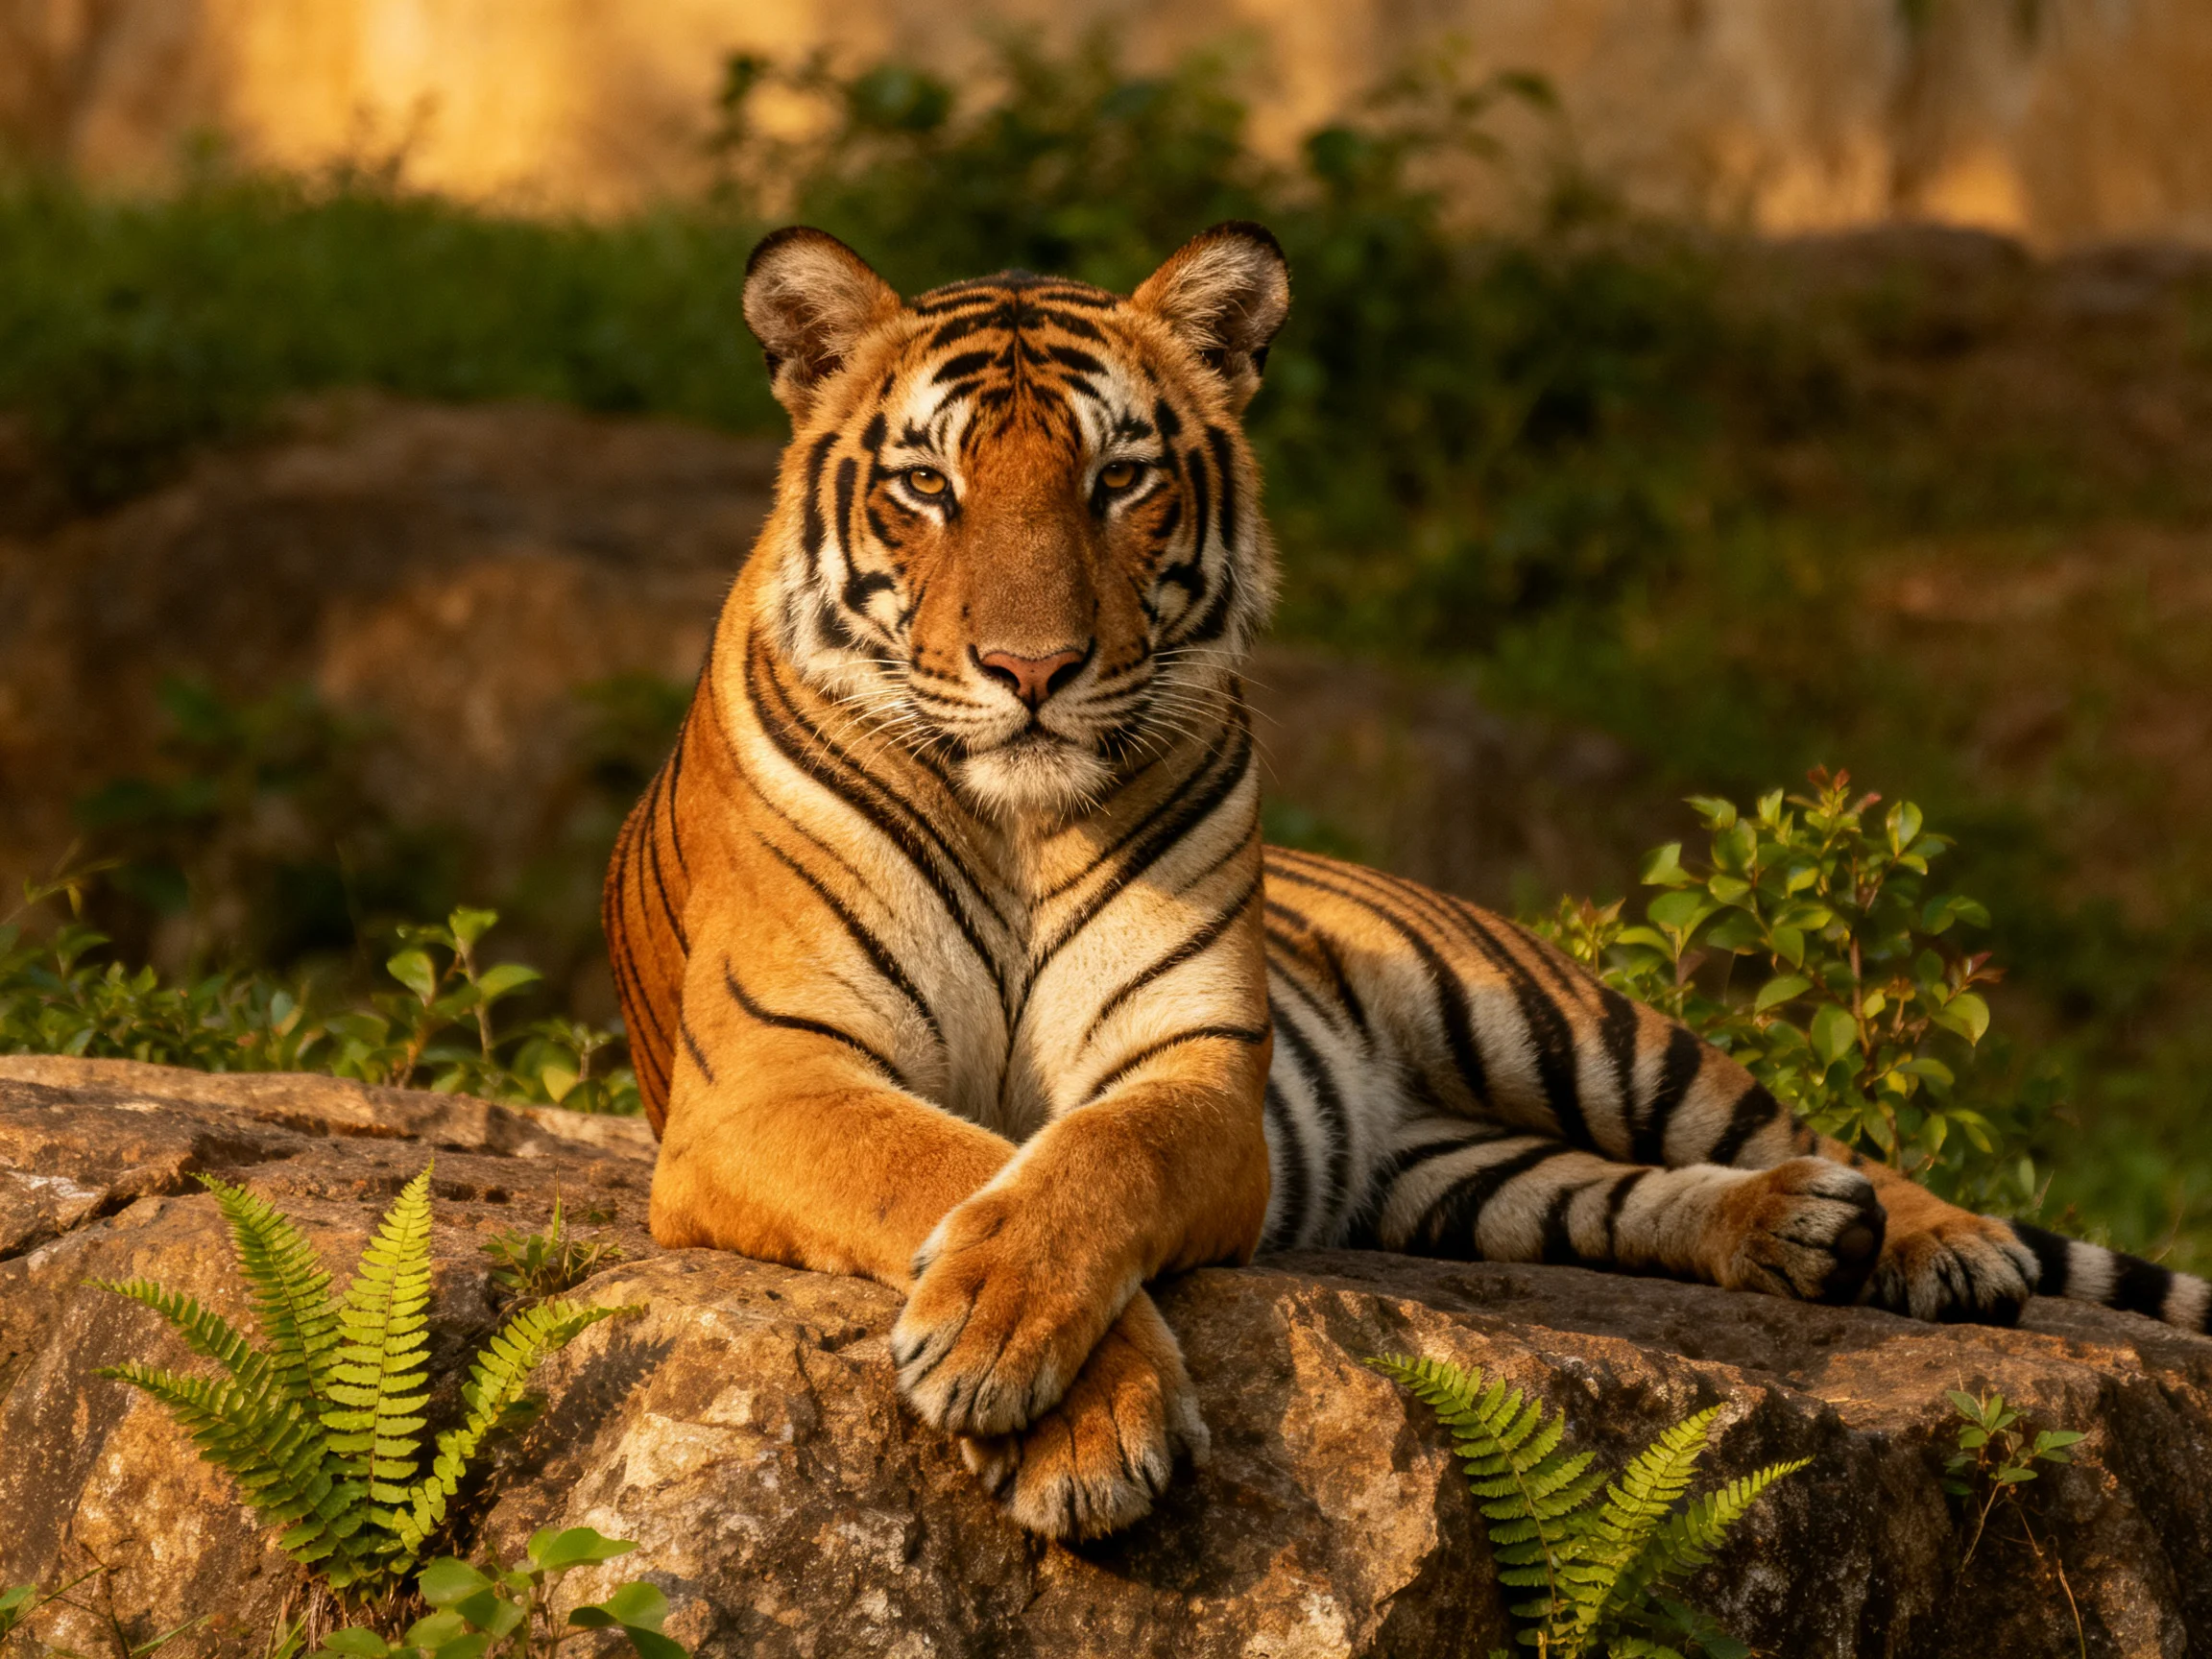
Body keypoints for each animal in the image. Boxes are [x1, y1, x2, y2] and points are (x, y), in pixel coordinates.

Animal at [604, 220, 2212, 1544]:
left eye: (1117, 480)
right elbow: (940, 1163)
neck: (1018, 821)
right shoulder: (773, 1076)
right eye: (926, 487)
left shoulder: (1193, 1065)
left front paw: (1000, 1330)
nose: (1032, 670)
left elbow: (1084, 1165)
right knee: (1609, 1196)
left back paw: (1936, 1243)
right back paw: (1800, 1231)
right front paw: (1074, 1417)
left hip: (1563, 1025)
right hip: (1457, 1177)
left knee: (1784, 1127)